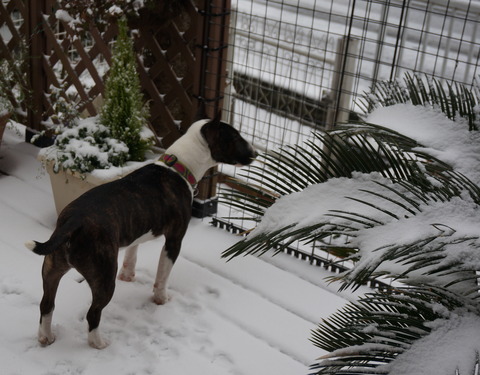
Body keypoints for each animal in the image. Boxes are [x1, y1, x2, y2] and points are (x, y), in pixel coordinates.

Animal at [25, 117, 255, 350]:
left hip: (52, 268)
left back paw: (46, 337)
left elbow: (132, 253)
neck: (179, 167)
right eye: (235, 137)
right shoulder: (174, 239)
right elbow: (163, 274)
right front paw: (161, 298)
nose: (254, 153)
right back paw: (98, 343)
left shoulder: (136, 230)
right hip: (103, 277)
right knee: (93, 313)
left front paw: (128, 275)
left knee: (47, 304)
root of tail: (72, 223)